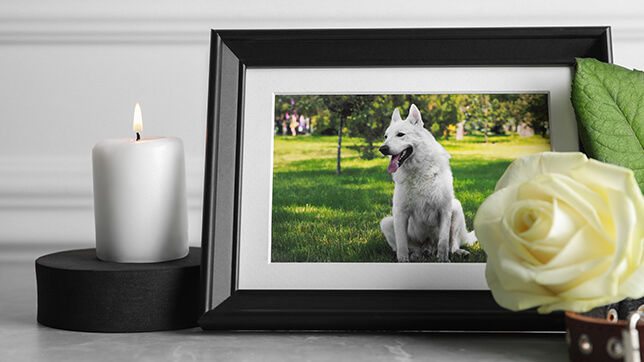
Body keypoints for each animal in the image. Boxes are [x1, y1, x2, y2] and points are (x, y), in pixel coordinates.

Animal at [380, 103, 476, 262]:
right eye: (386, 137)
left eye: (400, 134)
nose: (382, 148)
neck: (418, 171)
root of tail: (429, 246)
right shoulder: (400, 212)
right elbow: (401, 244)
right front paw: (403, 261)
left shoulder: (444, 210)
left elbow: (443, 242)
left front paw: (443, 260)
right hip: (387, 222)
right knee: (413, 248)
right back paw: (418, 254)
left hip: (456, 207)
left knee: (452, 245)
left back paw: (459, 253)